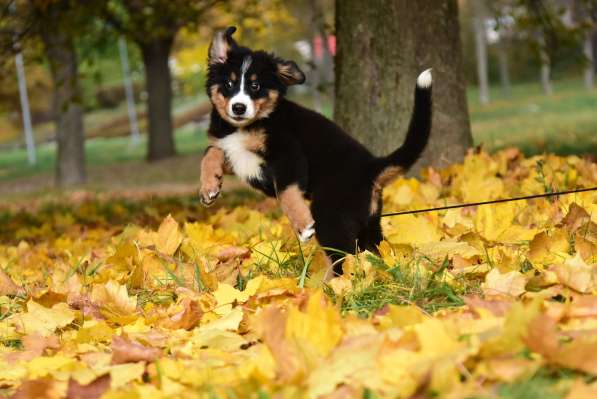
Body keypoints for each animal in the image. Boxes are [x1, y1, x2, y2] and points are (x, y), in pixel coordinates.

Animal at [201, 26, 434, 276]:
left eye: (255, 86)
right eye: (229, 84)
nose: (238, 108)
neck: (243, 127)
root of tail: (372, 167)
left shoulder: (288, 154)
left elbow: (286, 192)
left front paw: (302, 225)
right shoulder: (236, 155)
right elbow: (210, 152)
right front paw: (209, 188)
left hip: (330, 213)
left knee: (344, 257)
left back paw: (329, 285)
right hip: (368, 222)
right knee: (370, 252)